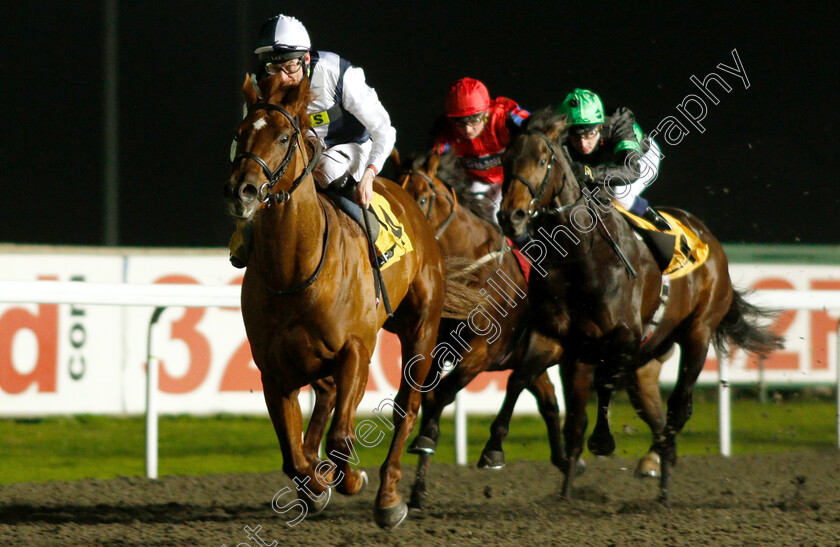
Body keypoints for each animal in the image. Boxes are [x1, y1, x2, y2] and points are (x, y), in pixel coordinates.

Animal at [223, 75, 482, 528]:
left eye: (285, 136)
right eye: (240, 134)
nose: (243, 190)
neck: (294, 268)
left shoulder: (356, 349)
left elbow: (342, 436)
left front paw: (352, 479)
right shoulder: (273, 369)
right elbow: (291, 455)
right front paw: (315, 486)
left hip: (421, 326)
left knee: (406, 407)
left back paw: (389, 496)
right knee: (325, 399)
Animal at [398, 151, 568, 510]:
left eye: (422, 198)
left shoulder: (480, 353)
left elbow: (444, 394)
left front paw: (426, 438)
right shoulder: (437, 349)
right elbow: (430, 397)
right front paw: (418, 487)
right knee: (547, 399)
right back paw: (564, 463)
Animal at [496, 111, 784, 506]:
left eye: (542, 160)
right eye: (505, 160)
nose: (511, 217)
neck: (581, 258)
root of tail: (708, 237)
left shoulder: (622, 337)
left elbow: (602, 385)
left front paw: (603, 441)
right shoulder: (556, 339)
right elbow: (525, 383)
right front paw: (501, 453)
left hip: (697, 333)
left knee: (679, 406)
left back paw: (660, 469)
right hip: (645, 363)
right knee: (657, 414)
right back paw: (660, 473)